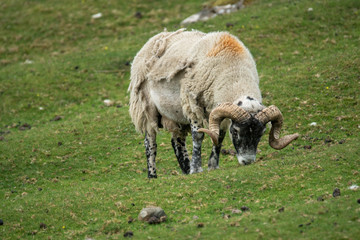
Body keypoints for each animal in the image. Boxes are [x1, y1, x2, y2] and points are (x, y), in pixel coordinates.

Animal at [129, 28, 298, 178]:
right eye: (235, 132)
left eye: (261, 133)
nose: (247, 161)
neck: (234, 72)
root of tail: (156, 37)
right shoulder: (193, 104)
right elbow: (198, 136)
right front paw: (197, 169)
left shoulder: (217, 111)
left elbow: (219, 137)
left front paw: (212, 165)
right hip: (146, 108)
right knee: (150, 142)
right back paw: (153, 175)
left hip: (175, 114)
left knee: (177, 141)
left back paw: (185, 170)